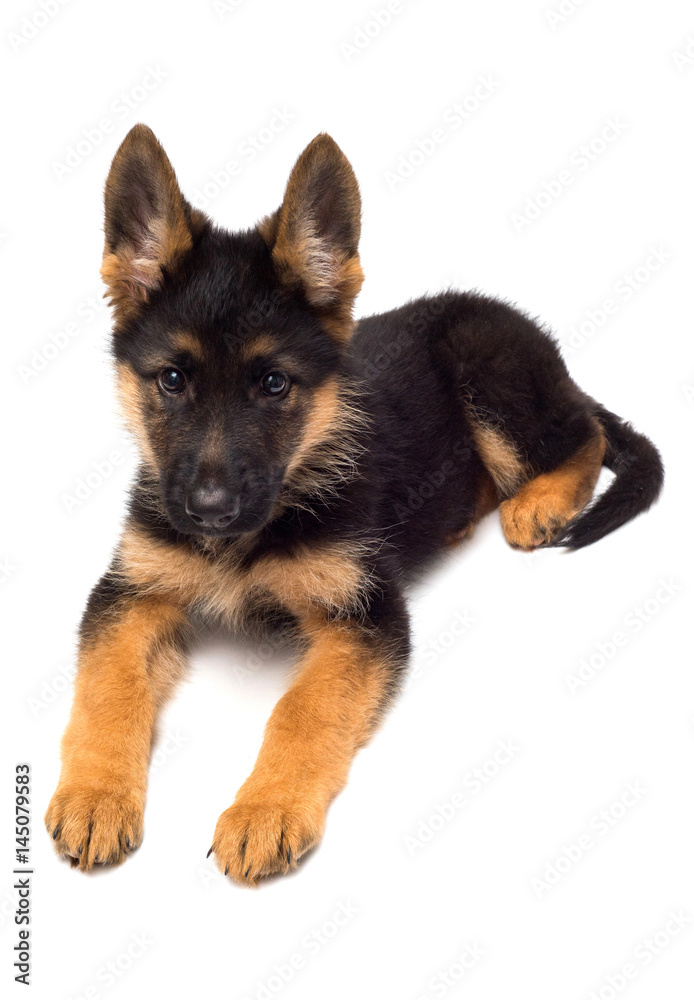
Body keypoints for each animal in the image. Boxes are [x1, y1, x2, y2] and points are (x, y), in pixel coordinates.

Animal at [43, 123, 664, 884]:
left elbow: (304, 709)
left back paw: (539, 503)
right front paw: (96, 794)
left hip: (485, 365)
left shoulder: (365, 617)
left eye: (274, 384)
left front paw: (267, 808)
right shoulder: (132, 593)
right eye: (171, 380)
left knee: (587, 433)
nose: (210, 511)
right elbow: (109, 688)